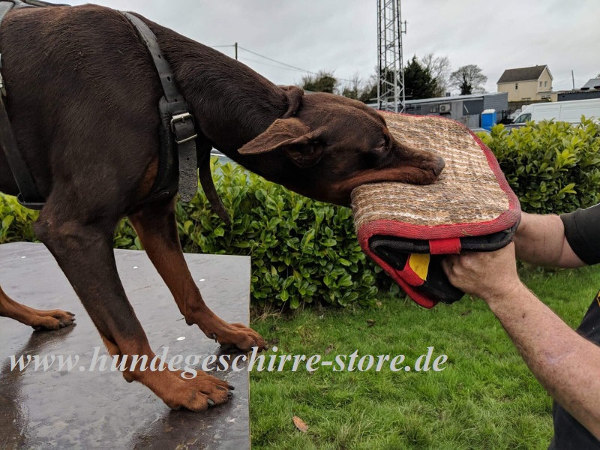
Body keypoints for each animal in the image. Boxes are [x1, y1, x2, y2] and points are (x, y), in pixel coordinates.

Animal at [0, 4, 442, 412]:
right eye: (381, 145)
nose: (439, 163)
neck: (170, 84)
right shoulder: (73, 229)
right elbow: (128, 332)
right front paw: (179, 388)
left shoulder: (153, 211)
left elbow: (188, 289)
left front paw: (225, 333)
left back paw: (40, 317)